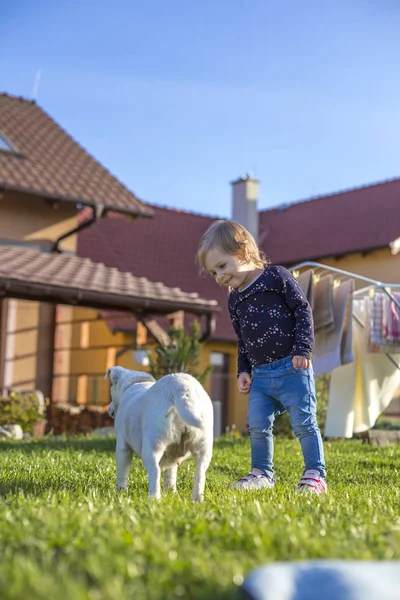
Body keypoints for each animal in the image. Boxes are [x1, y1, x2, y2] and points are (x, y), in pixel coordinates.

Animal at [104, 366, 214, 502]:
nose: (109, 410)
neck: (135, 383)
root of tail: (181, 387)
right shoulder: (172, 456)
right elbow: (170, 474)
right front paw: (171, 493)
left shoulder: (123, 447)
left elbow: (122, 472)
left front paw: (121, 492)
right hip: (203, 448)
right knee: (200, 474)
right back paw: (197, 500)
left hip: (152, 446)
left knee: (155, 473)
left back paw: (154, 499)